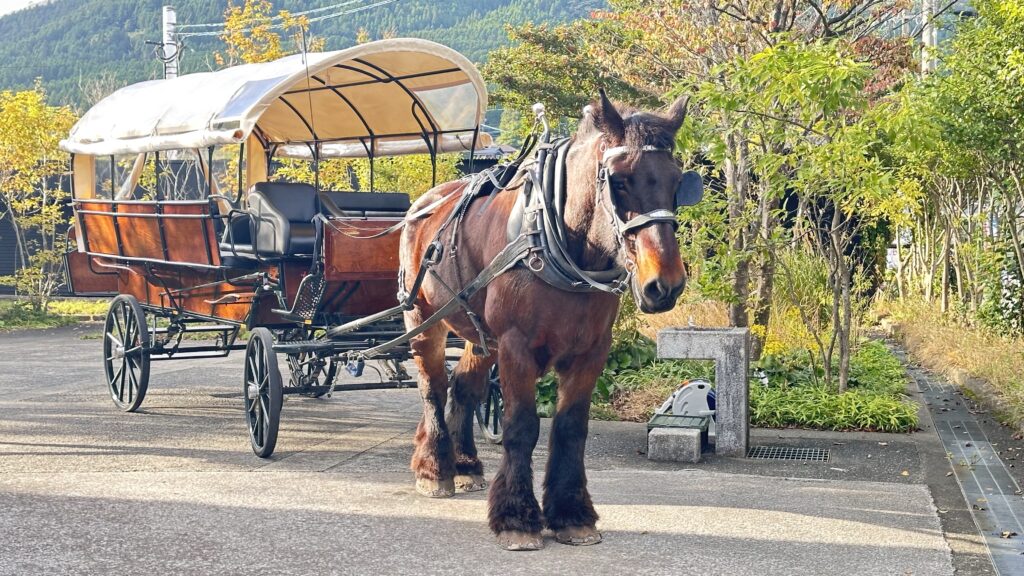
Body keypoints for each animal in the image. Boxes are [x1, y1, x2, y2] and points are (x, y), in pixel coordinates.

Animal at [397, 93, 688, 545]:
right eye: (620, 180)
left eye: (677, 181)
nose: (666, 285)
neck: (561, 242)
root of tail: (424, 203)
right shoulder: (516, 345)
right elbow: (521, 426)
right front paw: (516, 517)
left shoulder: (591, 352)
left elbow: (570, 429)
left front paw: (572, 513)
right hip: (423, 318)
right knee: (433, 387)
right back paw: (434, 469)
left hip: (479, 332)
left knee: (463, 388)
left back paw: (465, 465)